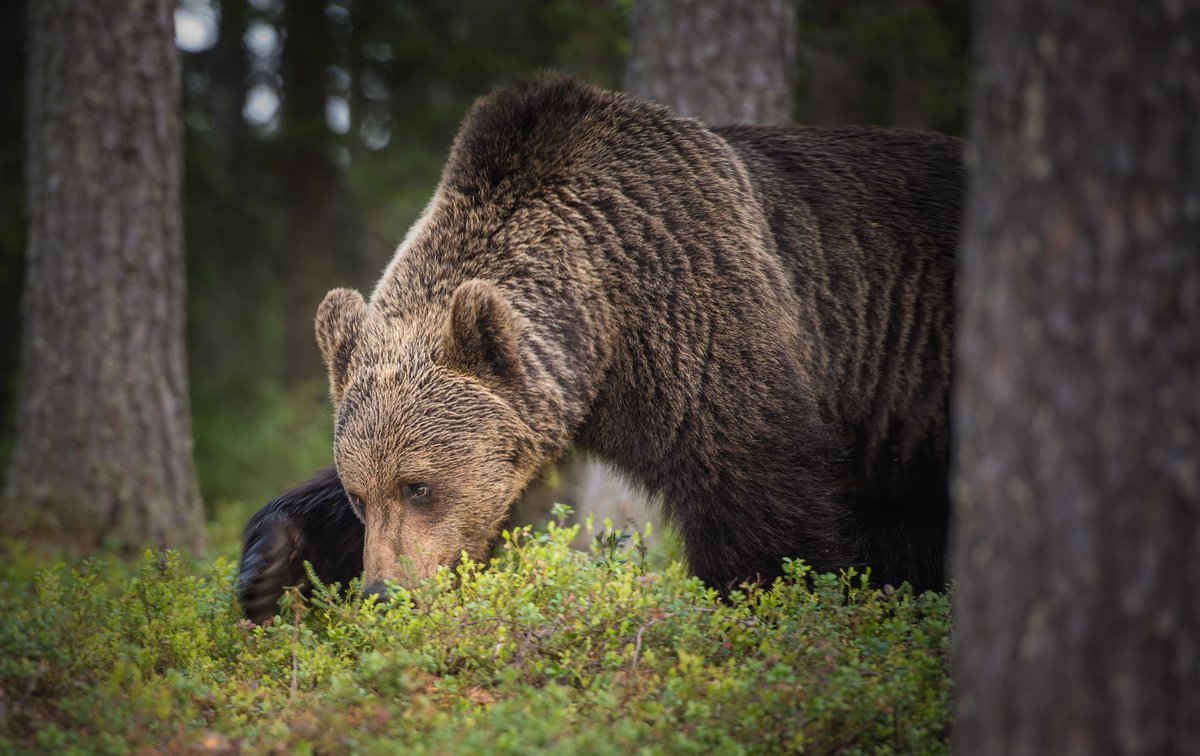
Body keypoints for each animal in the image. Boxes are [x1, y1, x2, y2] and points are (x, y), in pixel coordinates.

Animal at [236, 76, 964, 624]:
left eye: (421, 486)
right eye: (363, 495)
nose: (387, 593)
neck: (605, 329)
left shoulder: (704, 325)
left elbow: (763, 501)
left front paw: (770, 602)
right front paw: (271, 562)